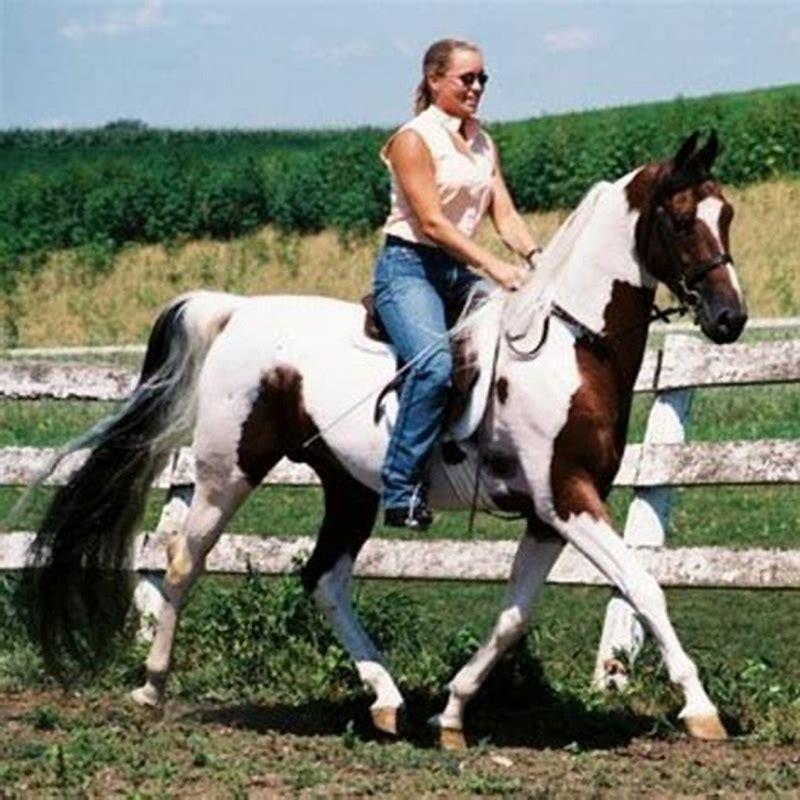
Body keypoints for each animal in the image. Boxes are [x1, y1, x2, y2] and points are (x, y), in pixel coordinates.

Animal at [25, 131, 747, 748]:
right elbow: (644, 586)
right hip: (227, 469)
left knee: (323, 578)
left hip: (349, 488)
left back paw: (387, 700)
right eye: (683, 219)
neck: (570, 344)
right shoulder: (567, 499)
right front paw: (702, 711)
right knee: (183, 561)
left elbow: (513, 617)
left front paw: (450, 714)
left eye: (728, 215)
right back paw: (151, 687)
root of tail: (237, 309)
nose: (730, 318)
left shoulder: (550, 514)